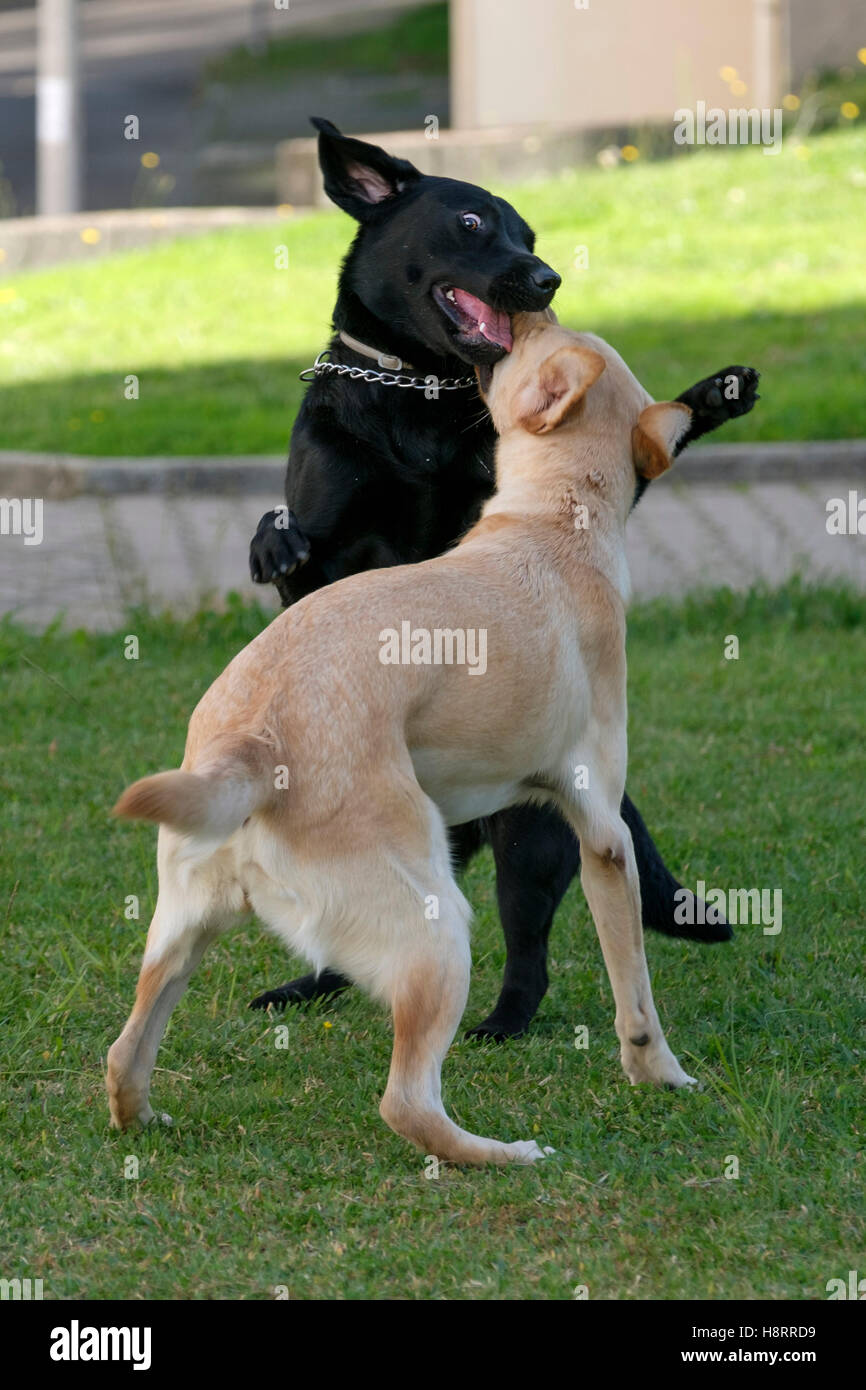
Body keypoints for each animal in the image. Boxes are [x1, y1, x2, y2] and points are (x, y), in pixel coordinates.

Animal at [246, 119, 756, 1039]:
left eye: (533, 236)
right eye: (475, 225)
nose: (547, 278)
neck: (417, 393)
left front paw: (714, 394)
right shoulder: (323, 571)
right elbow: (298, 555)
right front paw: (274, 540)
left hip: (529, 835)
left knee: (529, 951)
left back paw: (500, 1022)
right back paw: (315, 984)